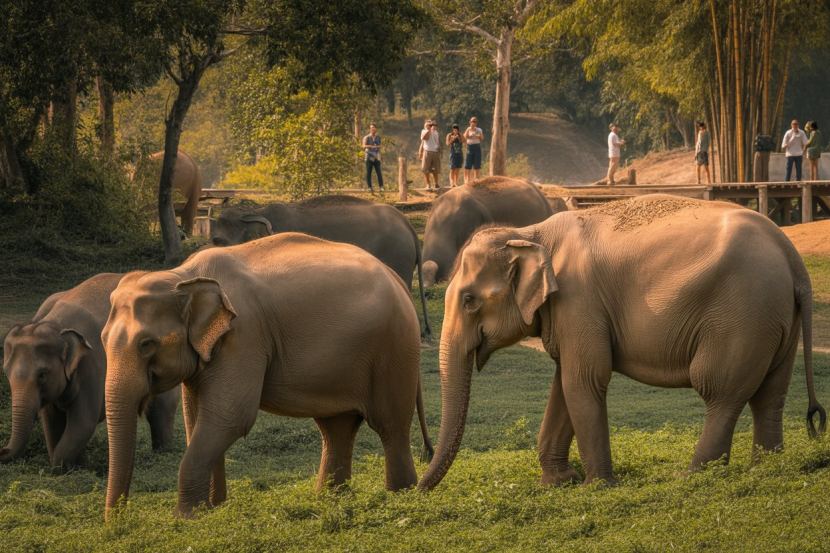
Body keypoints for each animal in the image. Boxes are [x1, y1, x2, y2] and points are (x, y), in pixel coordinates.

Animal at [1, 273, 180, 468]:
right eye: (6, 374)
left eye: (42, 375)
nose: (3, 450)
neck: (55, 326)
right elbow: (51, 421)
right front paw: (77, 466)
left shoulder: (92, 365)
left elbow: (83, 421)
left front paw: (61, 466)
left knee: (162, 408)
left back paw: (163, 454)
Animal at [101, 232, 432, 518]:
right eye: (102, 339)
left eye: (147, 344)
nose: (118, 520)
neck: (184, 275)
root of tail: (397, 278)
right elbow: (197, 418)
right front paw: (214, 509)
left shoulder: (244, 337)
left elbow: (229, 415)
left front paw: (187, 518)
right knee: (337, 428)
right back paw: (330, 499)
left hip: (393, 348)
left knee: (390, 425)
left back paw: (399, 496)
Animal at [419, 194, 826, 491]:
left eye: (469, 300)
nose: (419, 489)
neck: (532, 234)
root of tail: (793, 260)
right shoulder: (568, 313)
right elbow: (565, 382)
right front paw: (558, 483)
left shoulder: (579, 300)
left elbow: (583, 380)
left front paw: (597, 486)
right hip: (775, 320)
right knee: (769, 395)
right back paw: (765, 469)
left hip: (741, 315)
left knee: (720, 392)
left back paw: (693, 476)